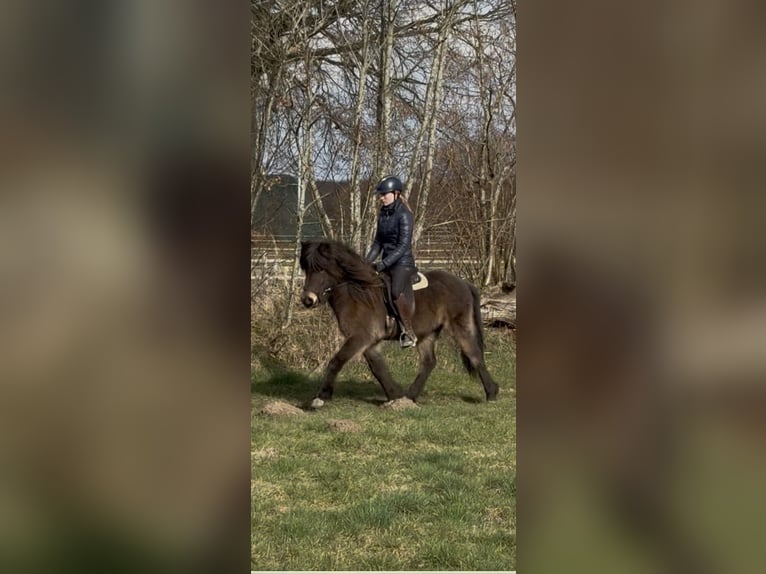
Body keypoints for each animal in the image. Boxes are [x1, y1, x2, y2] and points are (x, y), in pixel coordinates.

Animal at [299, 240, 499, 405]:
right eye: (306, 269)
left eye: (321, 269)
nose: (307, 300)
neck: (358, 293)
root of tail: (464, 284)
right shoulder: (369, 341)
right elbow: (378, 368)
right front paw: (394, 394)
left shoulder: (360, 337)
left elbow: (336, 361)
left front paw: (322, 396)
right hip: (427, 332)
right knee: (429, 362)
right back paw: (410, 396)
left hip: (459, 326)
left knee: (474, 355)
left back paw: (491, 393)